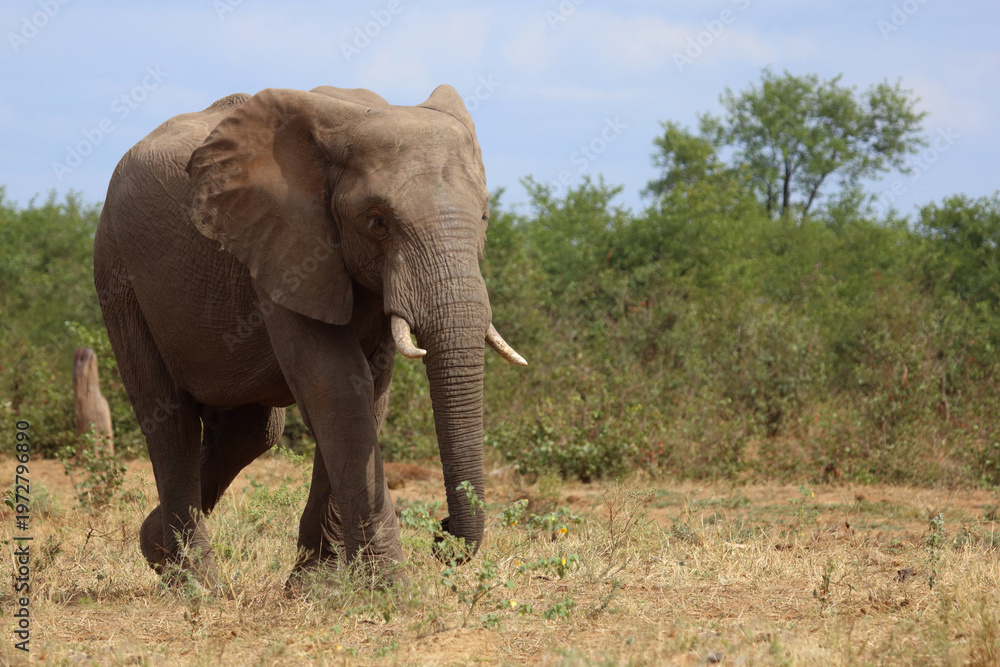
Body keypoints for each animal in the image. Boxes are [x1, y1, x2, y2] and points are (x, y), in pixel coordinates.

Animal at [93, 84, 526, 586]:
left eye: (484, 217)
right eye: (377, 221)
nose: (442, 538)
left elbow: (368, 389)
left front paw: (318, 586)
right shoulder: (284, 246)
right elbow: (334, 384)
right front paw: (389, 588)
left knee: (254, 433)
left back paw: (157, 544)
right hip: (119, 275)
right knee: (170, 418)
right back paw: (196, 584)